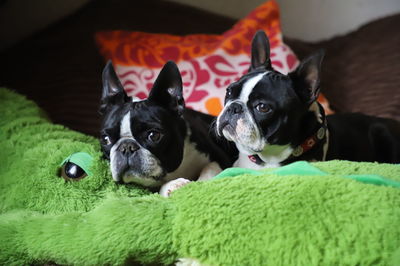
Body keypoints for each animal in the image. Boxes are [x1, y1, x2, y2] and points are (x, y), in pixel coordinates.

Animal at [100, 60, 236, 194]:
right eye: (105, 139)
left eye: (153, 135)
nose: (127, 147)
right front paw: (172, 185)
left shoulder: (221, 158)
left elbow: (209, 169)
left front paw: (201, 183)